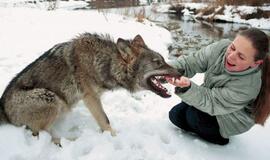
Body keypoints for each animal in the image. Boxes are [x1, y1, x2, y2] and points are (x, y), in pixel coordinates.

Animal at [0, 33, 184, 141]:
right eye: (158, 62)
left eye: (163, 60)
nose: (182, 71)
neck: (105, 63)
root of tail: (3, 111)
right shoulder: (90, 97)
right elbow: (105, 120)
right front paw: (113, 138)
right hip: (51, 98)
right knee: (41, 133)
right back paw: (66, 140)